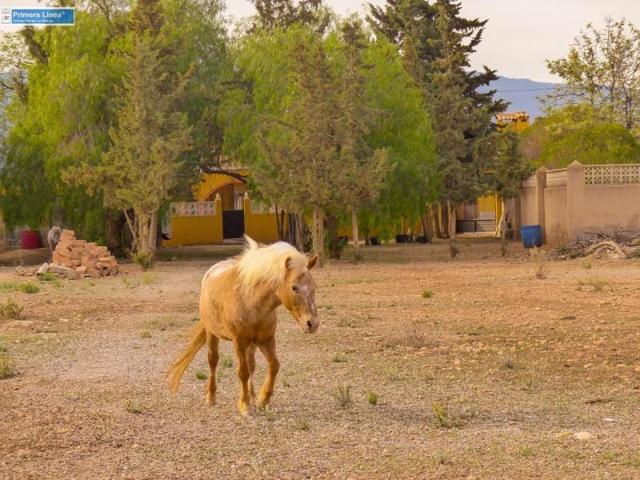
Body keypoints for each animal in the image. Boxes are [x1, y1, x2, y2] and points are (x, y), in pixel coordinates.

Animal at [166, 236, 318, 416]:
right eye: (294, 287)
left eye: (314, 286)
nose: (312, 323)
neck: (251, 300)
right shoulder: (238, 341)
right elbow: (243, 372)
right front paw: (245, 405)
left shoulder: (266, 340)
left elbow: (273, 366)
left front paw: (262, 399)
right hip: (212, 334)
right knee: (213, 361)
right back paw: (211, 397)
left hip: (251, 344)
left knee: (252, 364)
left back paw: (252, 395)